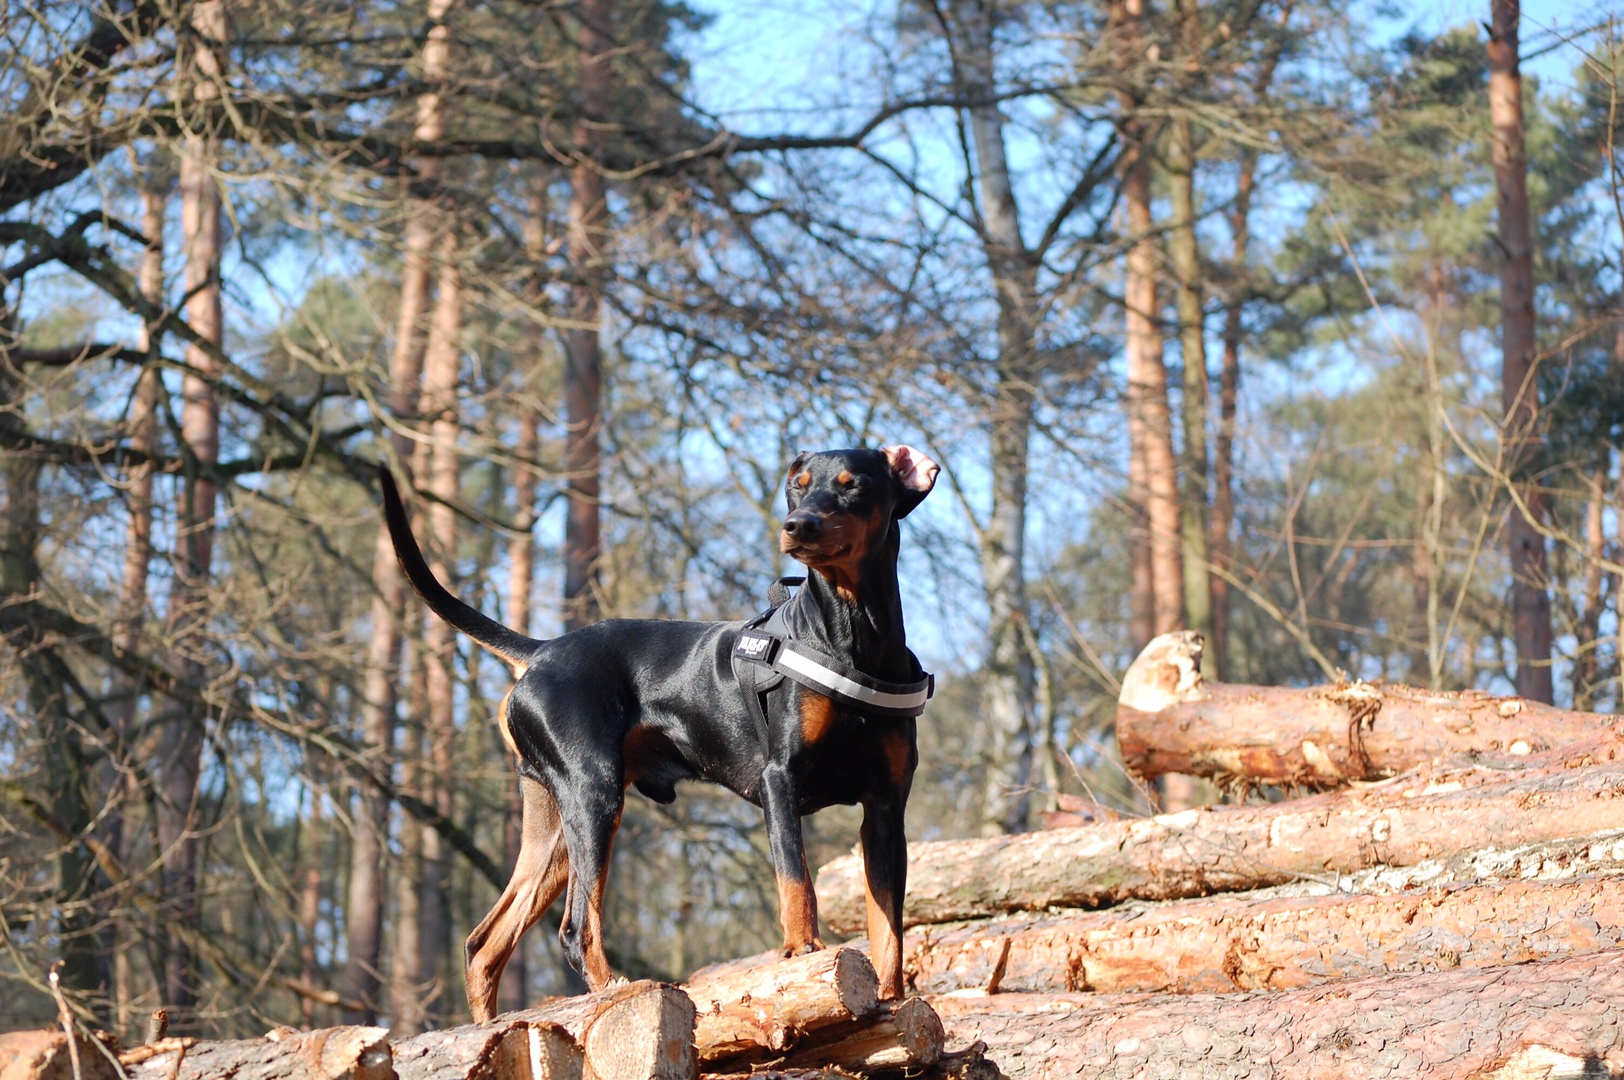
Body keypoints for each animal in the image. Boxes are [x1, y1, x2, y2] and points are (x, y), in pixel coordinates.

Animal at [379, 444, 938, 1019]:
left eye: (853, 485)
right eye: (797, 486)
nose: (796, 525)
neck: (852, 635)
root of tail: (542, 651)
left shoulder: (886, 810)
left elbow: (889, 927)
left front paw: (892, 1003)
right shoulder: (779, 781)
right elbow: (796, 880)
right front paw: (804, 954)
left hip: (554, 823)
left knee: (484, 945)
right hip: (594, 796)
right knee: (575, 929)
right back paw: (620, 993)